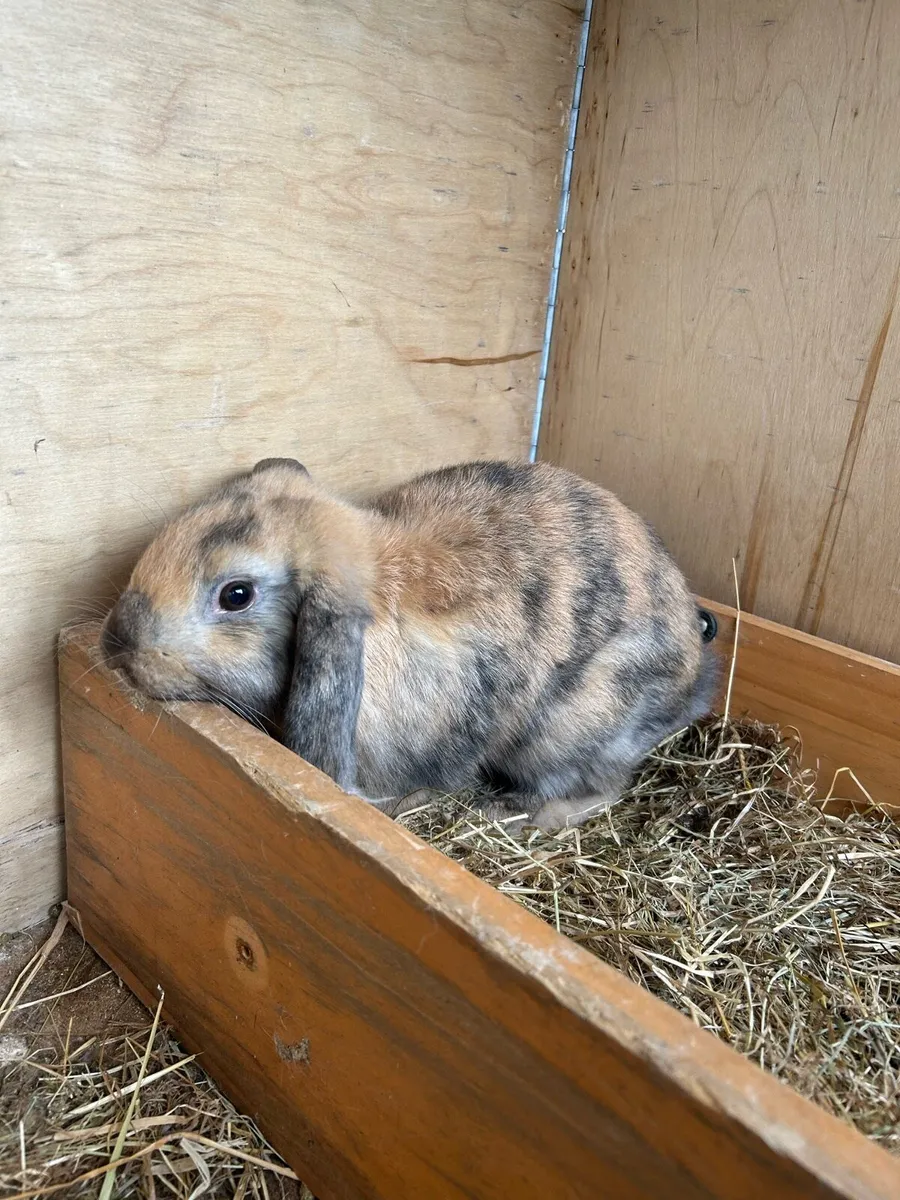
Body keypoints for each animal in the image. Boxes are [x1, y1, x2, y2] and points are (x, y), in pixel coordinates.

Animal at [100, 457, 720, 832]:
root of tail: (695, 676)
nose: (117, 643)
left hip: (569, 732)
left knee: (602, 787)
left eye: (236, 594)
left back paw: (517, 813)